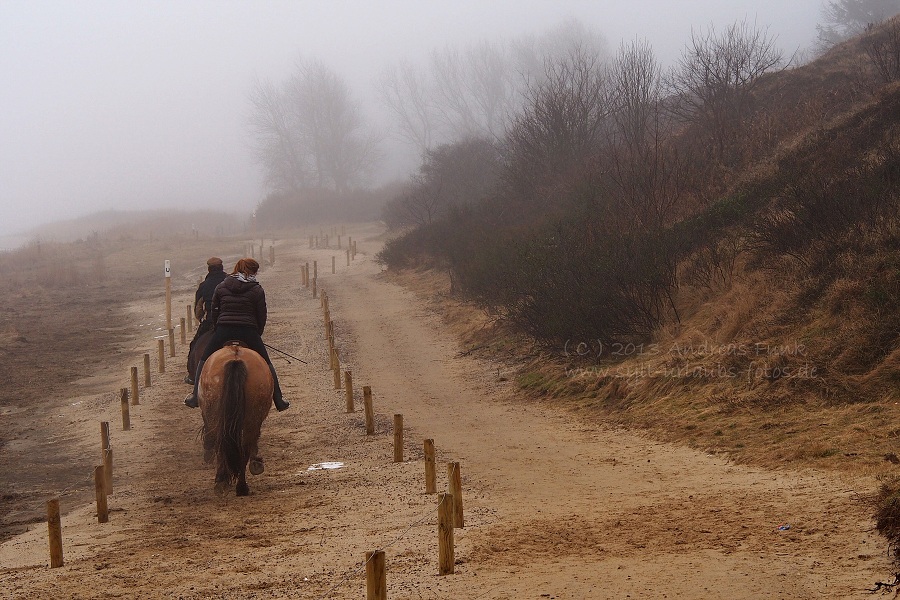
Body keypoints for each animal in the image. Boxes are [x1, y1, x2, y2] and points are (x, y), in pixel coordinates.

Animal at [200, 340, 274, 494]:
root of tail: (235, 359)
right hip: (251, 417)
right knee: (243, 445)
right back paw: (239, 486)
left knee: (224, 444)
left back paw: (229, 484)